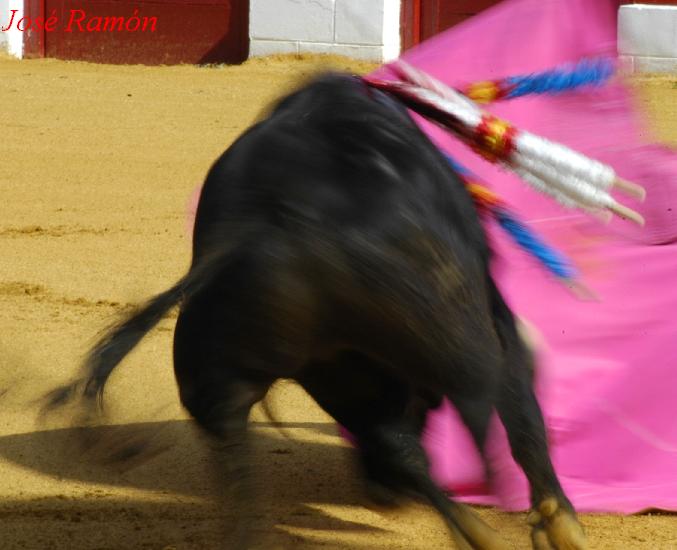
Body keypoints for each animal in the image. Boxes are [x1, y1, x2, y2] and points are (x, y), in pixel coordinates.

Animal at [47, 74, 588, 550]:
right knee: (494, 407)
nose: (383, 498)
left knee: (355, 452)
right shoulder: (484, 310)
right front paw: (559, 526)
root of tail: (266, 222)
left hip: (261, 382)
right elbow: (520, 412)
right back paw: (524, 528)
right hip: (456, 335)